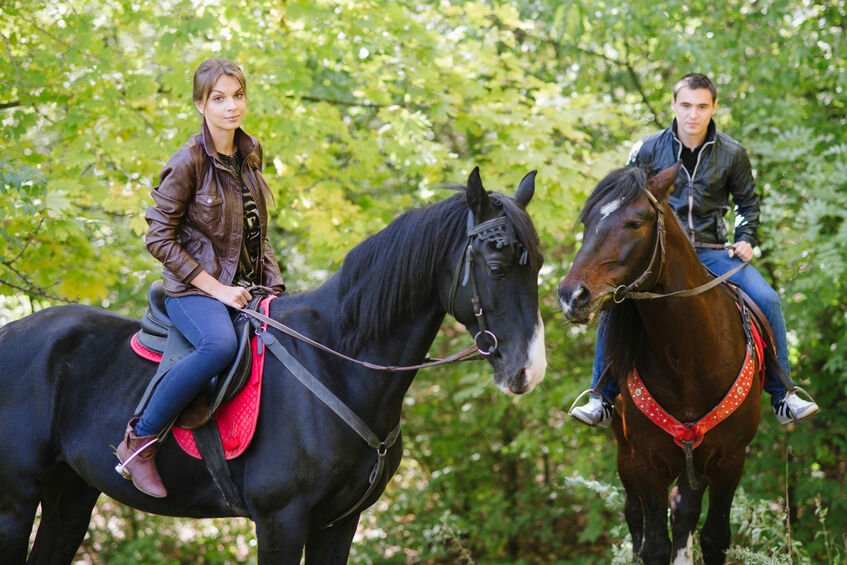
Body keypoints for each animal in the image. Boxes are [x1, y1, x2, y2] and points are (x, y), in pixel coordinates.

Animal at [0, 169, 548, 564]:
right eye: (496, 266)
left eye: (538, 266)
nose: (529, 371)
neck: (336, 363)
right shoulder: (280, 520)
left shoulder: (338, 525)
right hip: (17, 500)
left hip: (71, 495)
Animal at [560, 164, 764, 564]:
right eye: (587, 222)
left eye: (635, 222)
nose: (571, 296)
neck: (687, 357)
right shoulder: (645, 463)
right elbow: (653, 542)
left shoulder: (730, 460)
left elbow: (714, 537)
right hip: (626, 452)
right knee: (635, 515)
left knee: (684, 510)